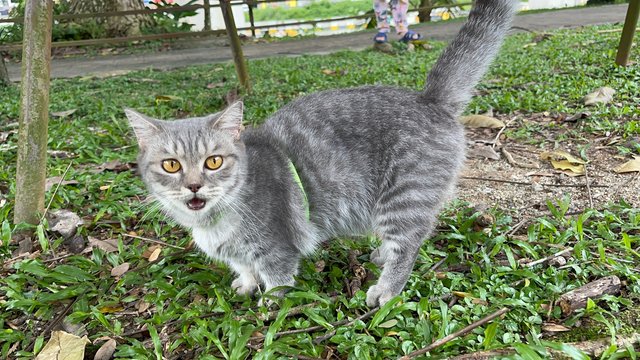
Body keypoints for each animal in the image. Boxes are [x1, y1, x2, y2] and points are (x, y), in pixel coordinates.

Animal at [125, 0, 516, 308]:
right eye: (171, 165)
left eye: (213, 161)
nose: (193, 186)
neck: (214, 222)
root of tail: (428, 99)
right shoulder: (239, 255)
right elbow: (245, 268)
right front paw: (246, 284)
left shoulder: (276, 249)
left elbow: (277, 279)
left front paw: (269, 304)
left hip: (404, 197)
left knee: (407, 246)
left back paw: (386, 290)